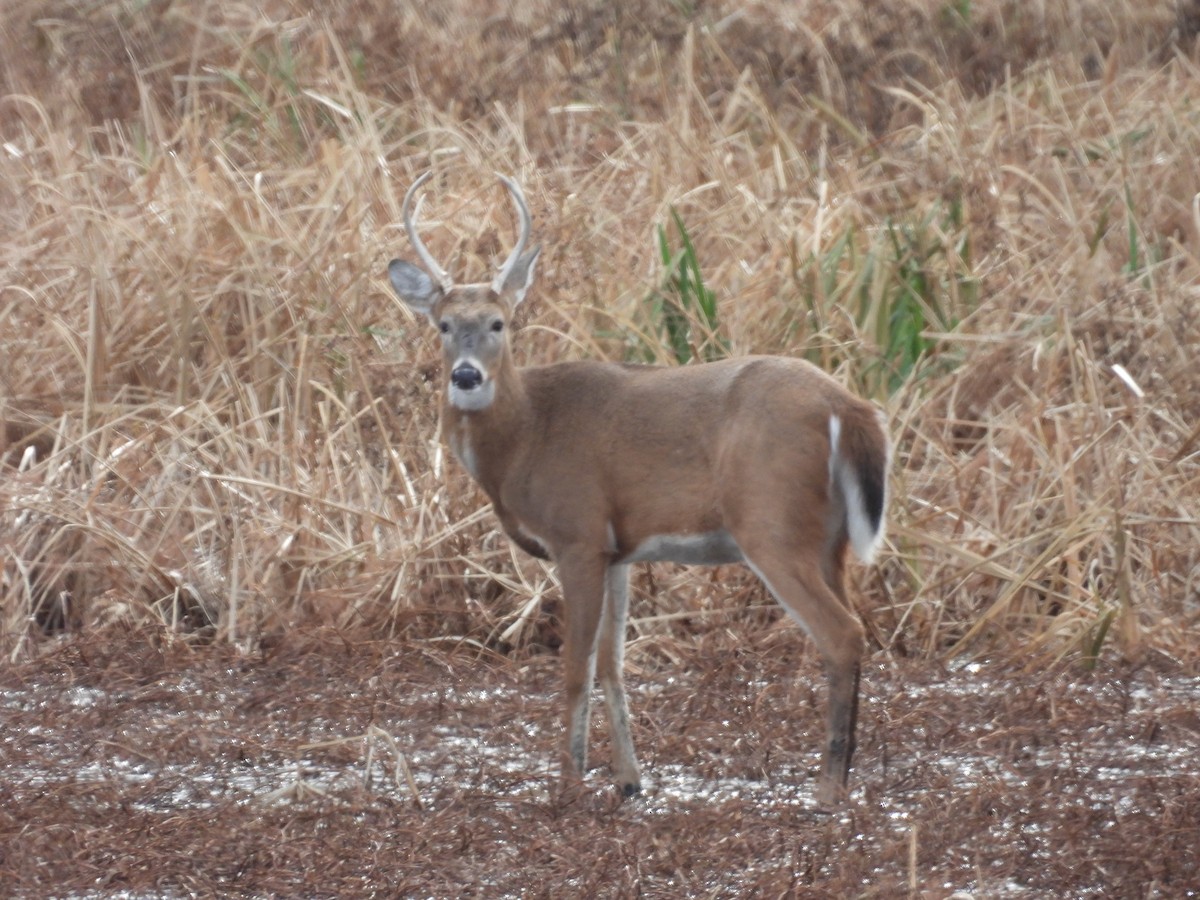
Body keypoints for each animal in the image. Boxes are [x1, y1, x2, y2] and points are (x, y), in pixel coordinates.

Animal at [388, 173, 890, 807]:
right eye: (445, 325)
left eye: (499, 323)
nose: (467, 376)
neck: (527, 436)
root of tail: (848, 406)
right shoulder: (617, 548)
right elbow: (613, 662)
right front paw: (628, 780)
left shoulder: (577, 534)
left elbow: (574, 665)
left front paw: (569, 783)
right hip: (830, 540)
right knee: (852, 625)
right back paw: (841, 776)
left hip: (772, 523)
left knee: (842, 634)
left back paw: (827, 789)